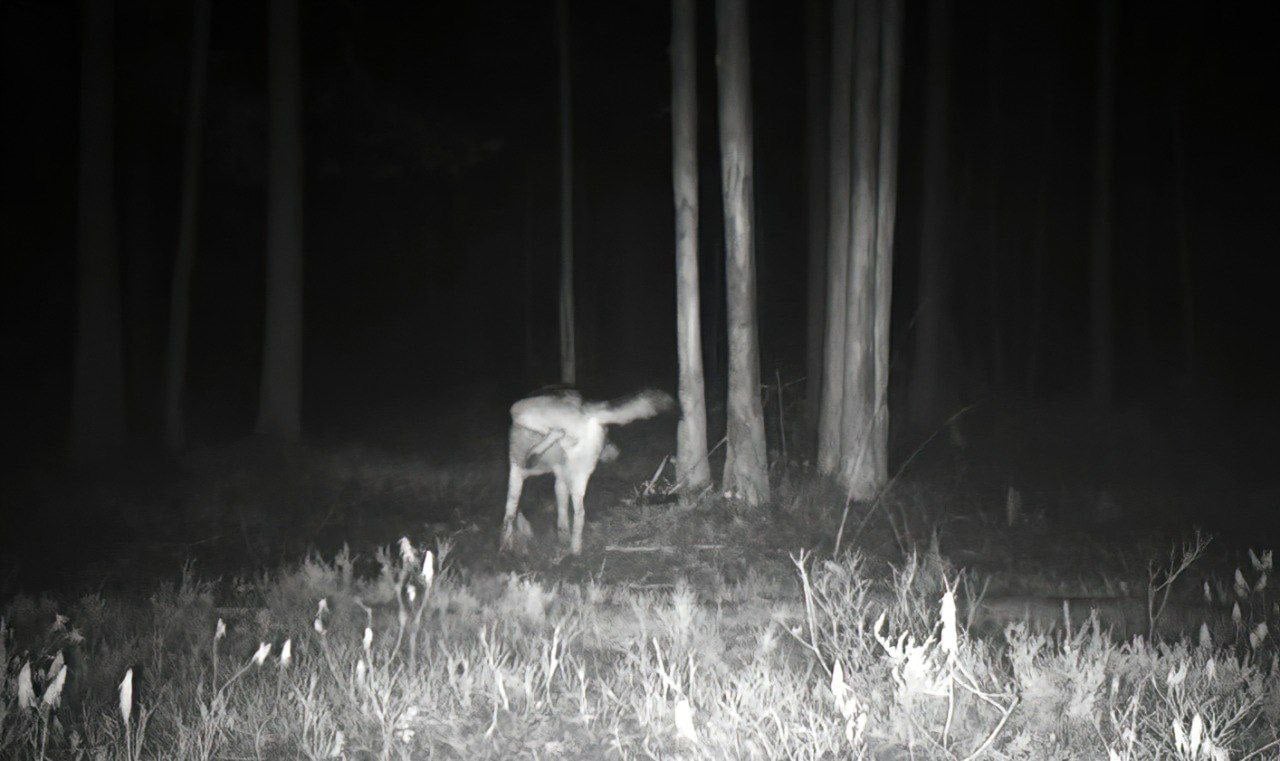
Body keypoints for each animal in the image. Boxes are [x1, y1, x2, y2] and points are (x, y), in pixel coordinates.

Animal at [501, 388, 680, 557]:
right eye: (607, 436)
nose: (616, 453)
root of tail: (591, 412)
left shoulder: (521, 471)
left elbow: (512, 513)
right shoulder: (555, 478)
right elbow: (514, 514)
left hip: (520, 408)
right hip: (578, 474)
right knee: (580, 512)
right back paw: (575, 548)